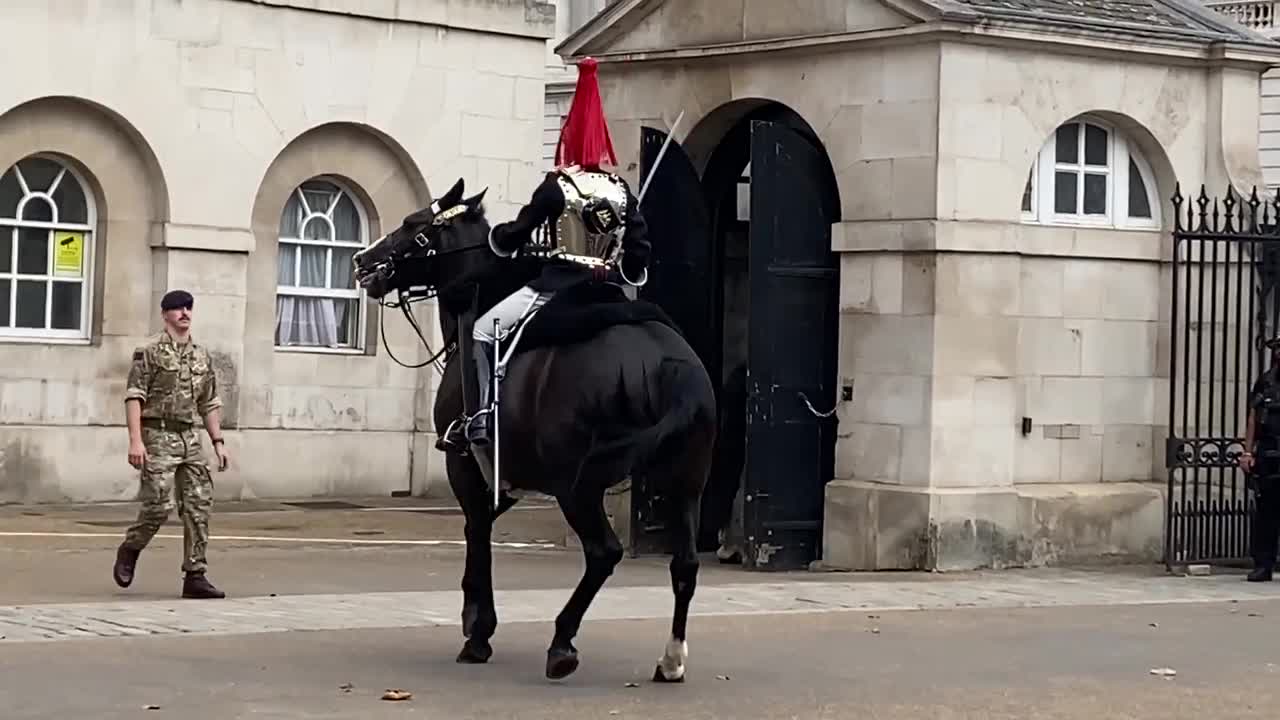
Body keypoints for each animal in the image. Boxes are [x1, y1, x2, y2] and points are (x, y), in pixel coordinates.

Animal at [353, 178, 721, 676]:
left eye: (414, 224)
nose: (363, 261)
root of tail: (669, 365)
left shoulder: (469, 465)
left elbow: (477, 533)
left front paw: (478, 631)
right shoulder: (511, 473)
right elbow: (479, 528)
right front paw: (474, 620)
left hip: (579, 486)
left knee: (603, 552)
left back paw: (562, 645)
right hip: (684, 483)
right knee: (684, 565)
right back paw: (670, 659)